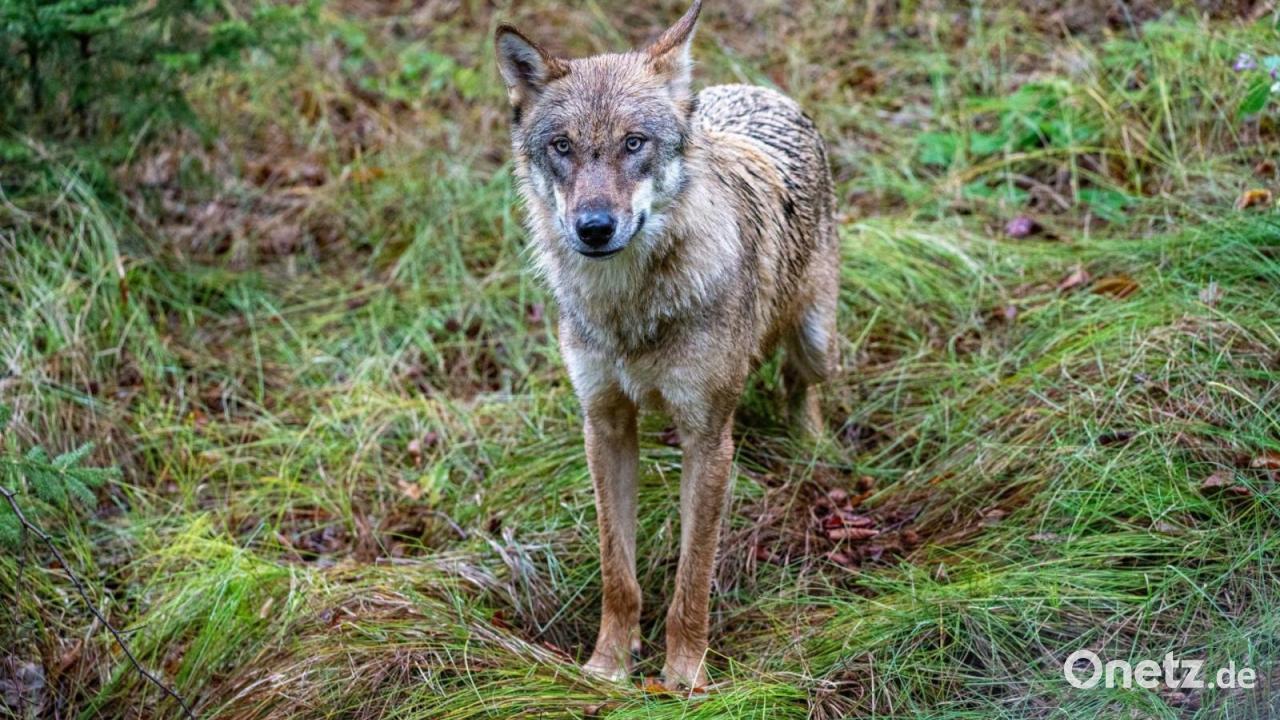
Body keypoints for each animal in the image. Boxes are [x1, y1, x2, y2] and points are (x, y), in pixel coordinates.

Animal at [495, 0, 838, 689]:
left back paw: (812, 449)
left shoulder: (708, 439)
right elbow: (617, 572)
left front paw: (683, 679)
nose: (594, 227)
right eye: (562, 147)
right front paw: (607, 666)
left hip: (815, 339)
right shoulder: (603, 424)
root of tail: (757, 90)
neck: (630, 308)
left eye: (634, 143)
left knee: (801, 384)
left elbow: (692, 577)